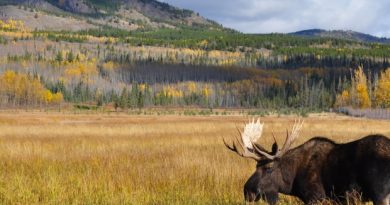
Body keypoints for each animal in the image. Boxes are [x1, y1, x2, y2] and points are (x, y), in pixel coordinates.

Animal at [224, 118, 388, 205]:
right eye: (255, 166)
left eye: (269, 168)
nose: (247, 192)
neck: (293, 180)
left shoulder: (316, 197)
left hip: (380, 194)